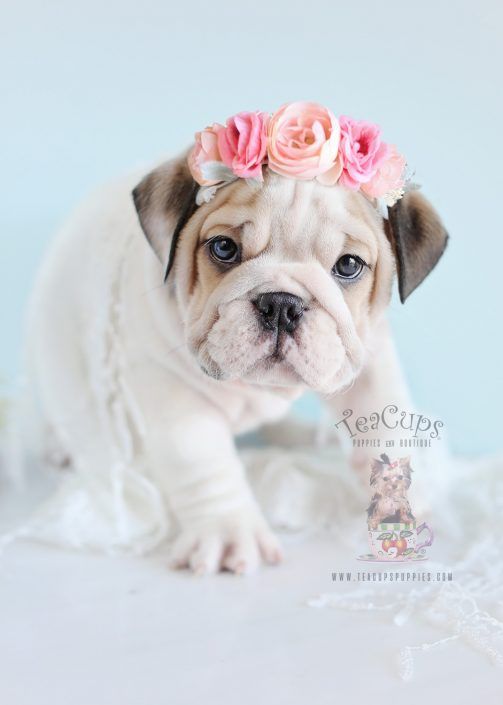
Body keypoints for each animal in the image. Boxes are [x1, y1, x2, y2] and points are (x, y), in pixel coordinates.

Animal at [25, 153, 446, 572]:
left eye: (348, 265)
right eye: (224, 248)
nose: (281, 304)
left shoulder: (368, 356)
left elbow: (382, 419)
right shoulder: (174, 393)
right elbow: (204, 465)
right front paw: (229, 532)